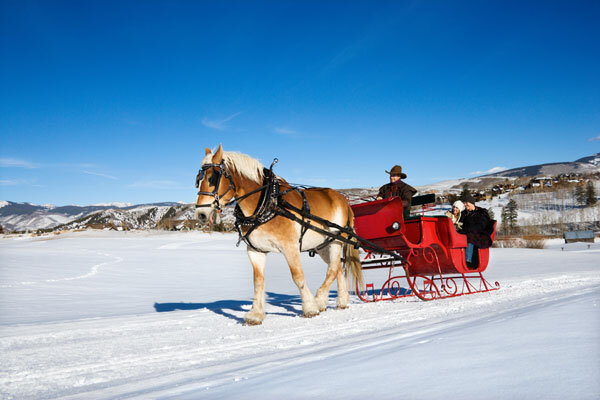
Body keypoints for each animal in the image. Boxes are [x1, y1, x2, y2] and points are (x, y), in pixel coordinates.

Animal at [196, 144, 360, 324]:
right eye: (198, 180)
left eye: (212, 178)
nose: (201, 214)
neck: (267, 202)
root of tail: (343, 200)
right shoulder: (255, 250)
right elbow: (258, 281)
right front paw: (255, 314)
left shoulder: (290, 247)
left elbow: (298, 276)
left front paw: (310, 307)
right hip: (323, 245)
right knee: (337, 268)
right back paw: (341, 301)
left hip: (337, 241)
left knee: (333, 268)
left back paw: (320, 300)